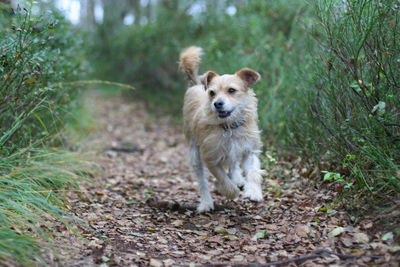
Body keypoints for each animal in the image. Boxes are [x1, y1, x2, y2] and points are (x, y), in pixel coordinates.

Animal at [180, 46, 264, 214]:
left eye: (231, 90)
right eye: (212, 93)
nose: (217, 103)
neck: (229, 127)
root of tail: (194, 85)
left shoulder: (249, 150)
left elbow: (253, 172)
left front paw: (253, 192)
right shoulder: (210, 157)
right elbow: (221, 177)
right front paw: (230, 191)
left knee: (233, 165)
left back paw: (238, 179)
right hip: (194, 153)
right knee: (202, 181)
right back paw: (206, 202)